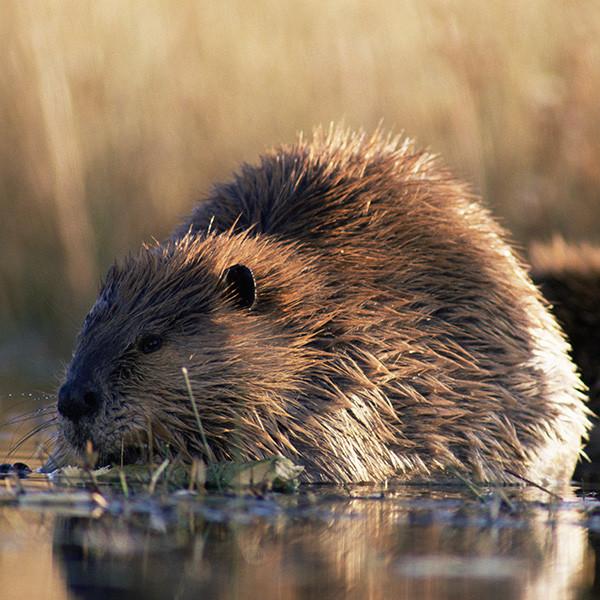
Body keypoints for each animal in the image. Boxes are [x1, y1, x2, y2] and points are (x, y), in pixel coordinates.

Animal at [45, 129, 584, 486]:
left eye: (150, 341)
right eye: (88, 325)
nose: (73, 400)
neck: (318, 324)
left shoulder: (353, 389)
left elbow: (325, 459)